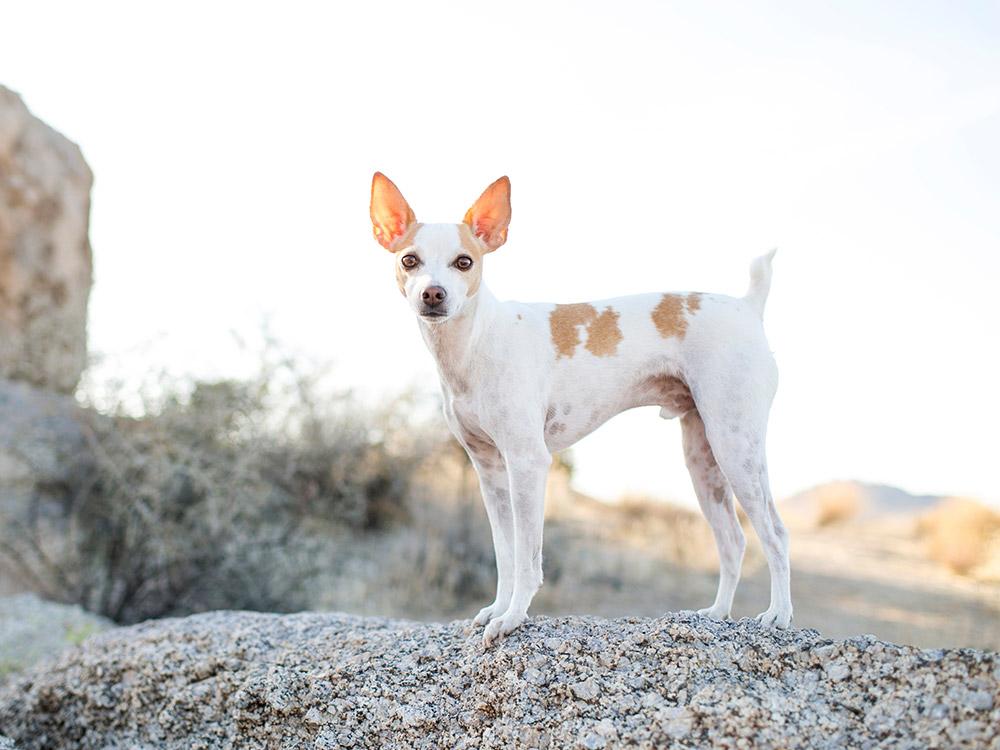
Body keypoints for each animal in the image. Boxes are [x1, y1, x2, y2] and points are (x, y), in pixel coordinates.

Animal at [372, 172, 792, 648]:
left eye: (464, 262)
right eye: (409, 260)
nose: (433, 294)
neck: (476, 342)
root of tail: (746, 307)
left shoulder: (528, 464)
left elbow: (527, 558)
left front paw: (513, 617)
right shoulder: (489, 471)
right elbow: (505, 553)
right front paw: (497, 609)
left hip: (736, 449)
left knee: (776, 534)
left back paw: (779, 615)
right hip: (703, 461)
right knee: (733, 540)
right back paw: (717, 614)